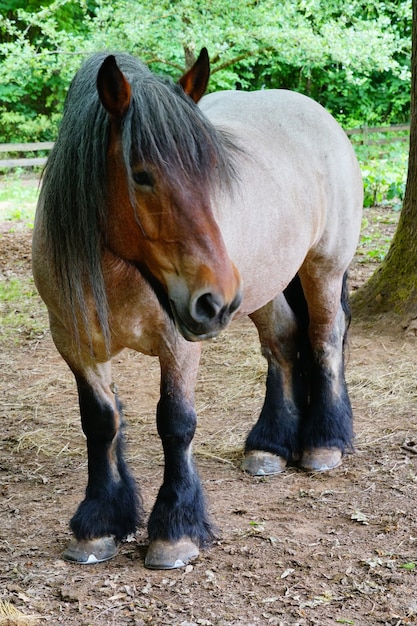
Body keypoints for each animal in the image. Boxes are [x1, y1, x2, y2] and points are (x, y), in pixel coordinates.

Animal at [32, 46, 362, 568]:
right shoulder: (76, 345)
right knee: (283, 342)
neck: (117, 269)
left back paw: (323, 443)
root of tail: (313, 111)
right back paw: (269, 445)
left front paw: (175, 530)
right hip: (264, 287)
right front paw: (99, 524)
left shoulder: (178, 344)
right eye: (142, 176)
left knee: (324, 340)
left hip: (322, 269)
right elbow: (101, 423)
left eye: (214, 174)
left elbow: (176, 424)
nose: (215, 299)